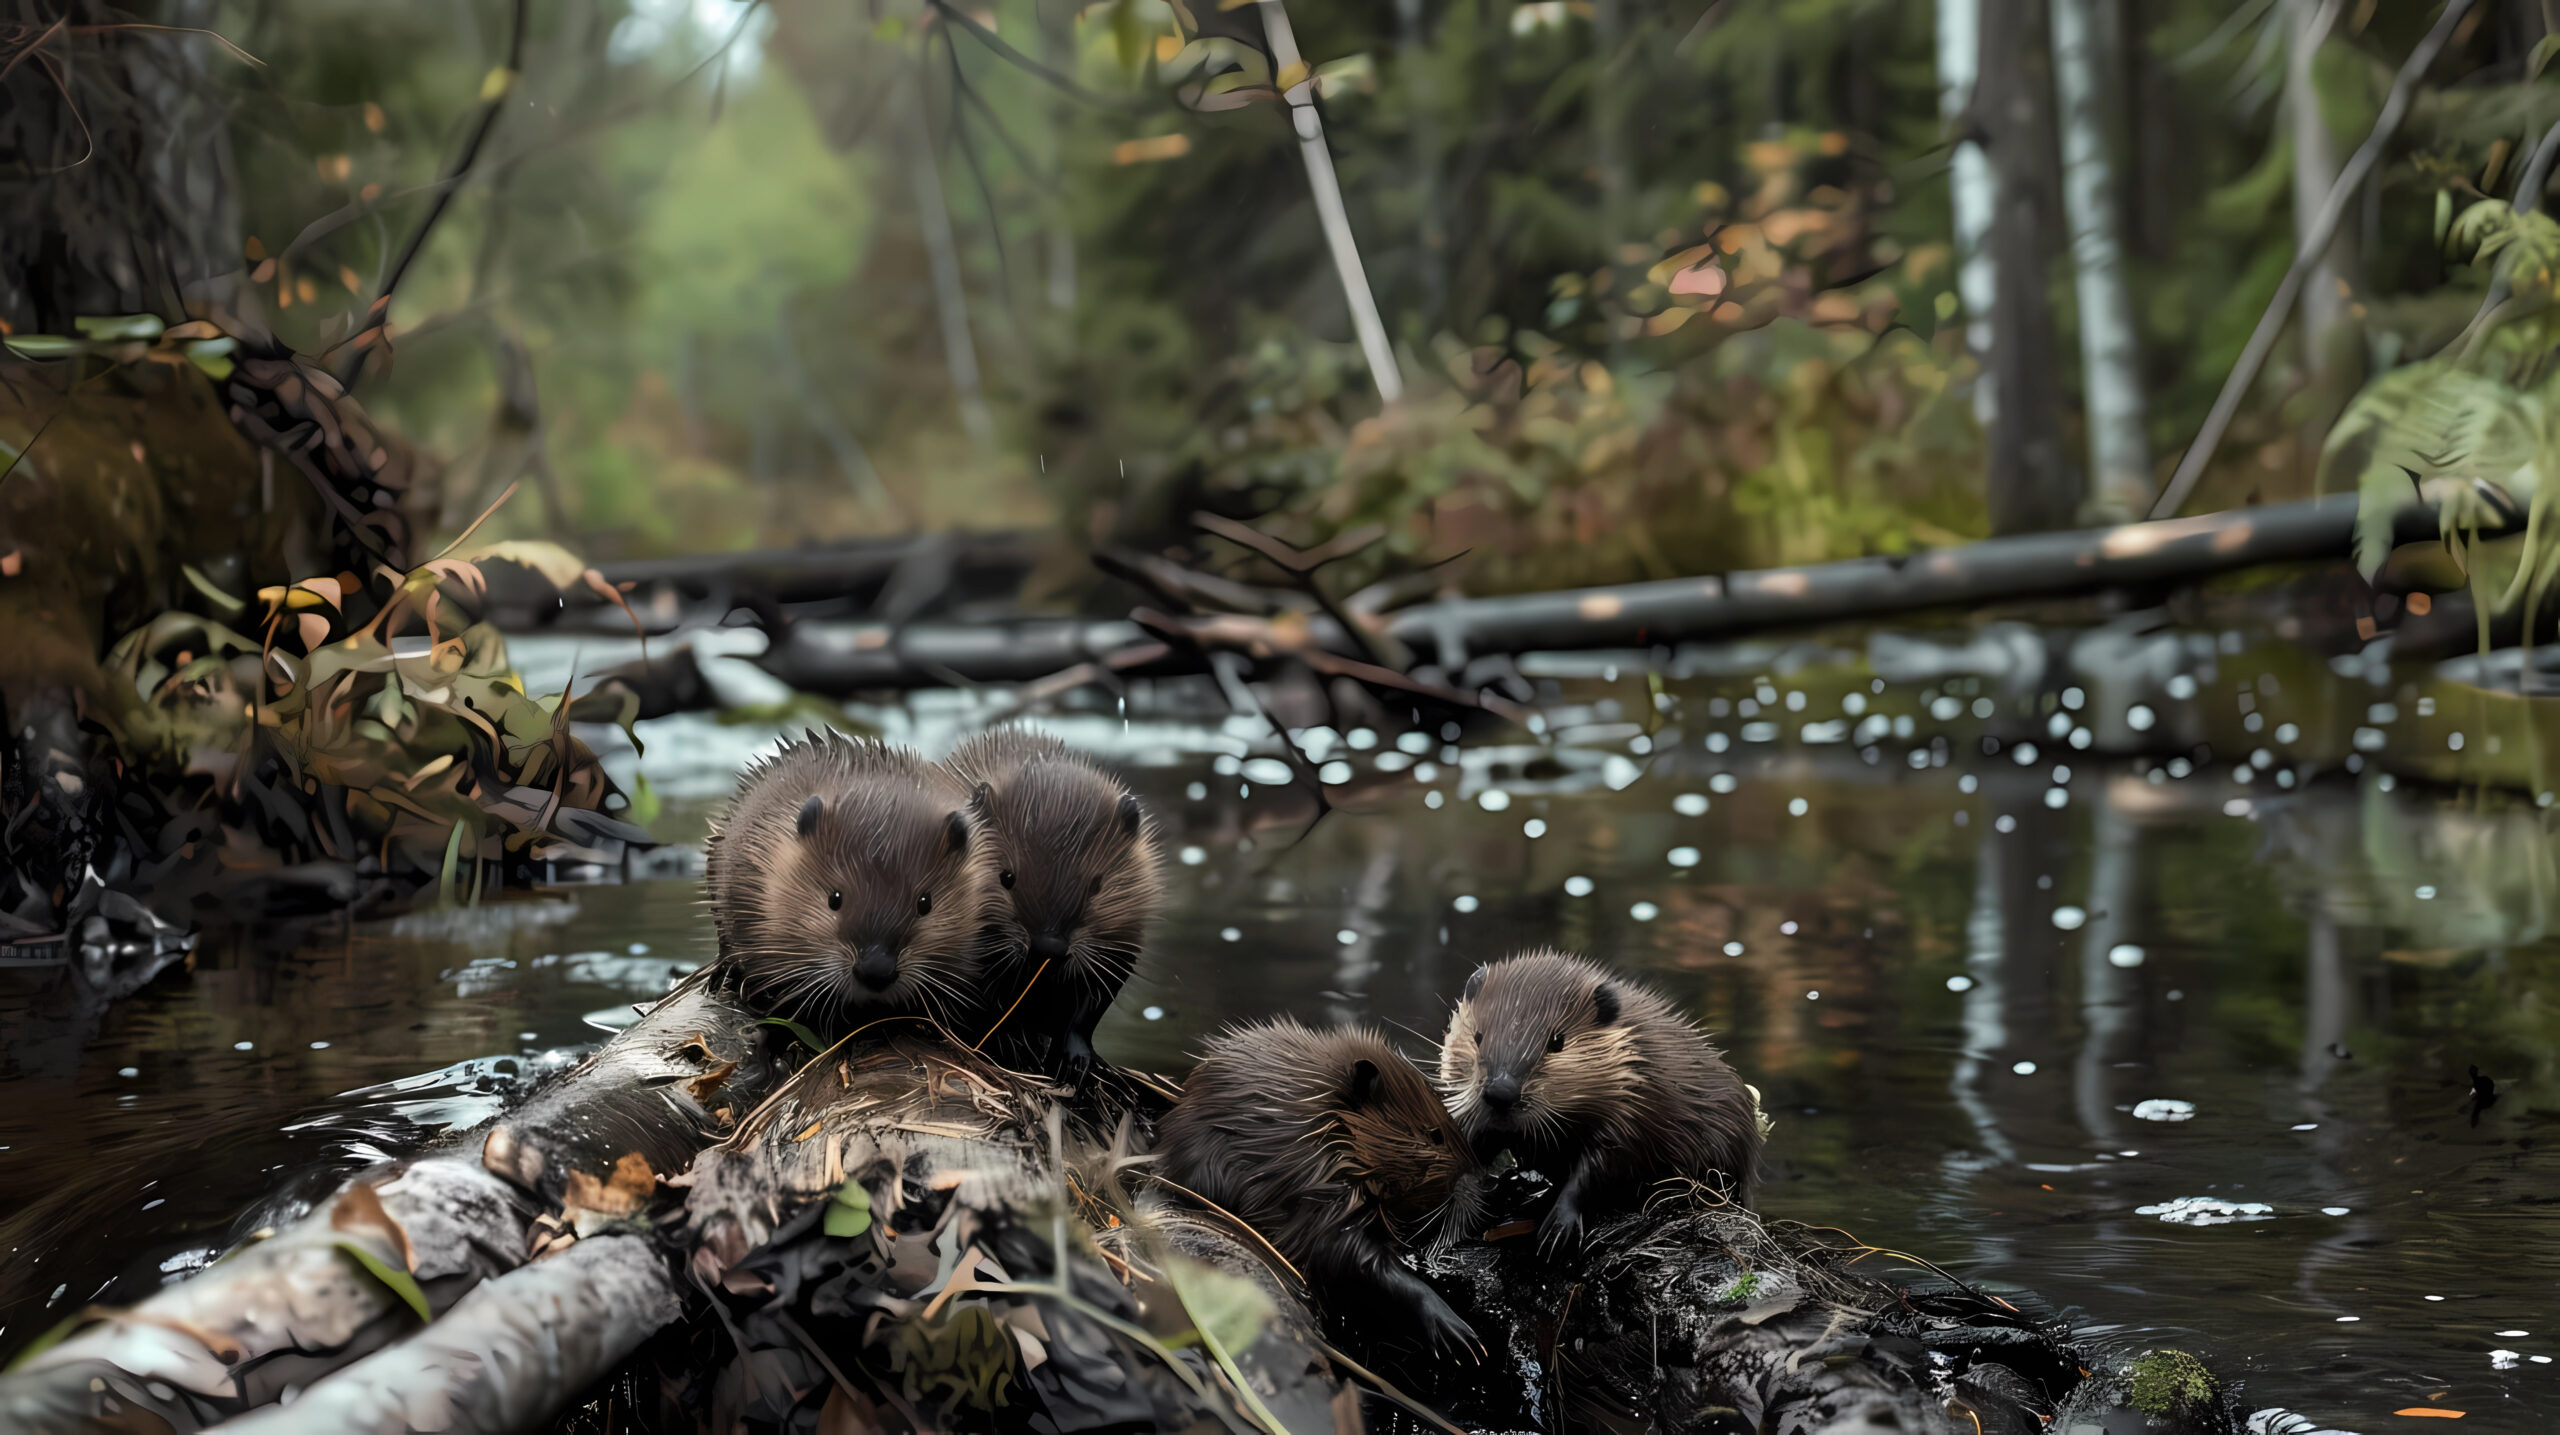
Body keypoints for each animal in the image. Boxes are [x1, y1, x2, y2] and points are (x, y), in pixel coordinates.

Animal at [942, 726, 1162, 1074]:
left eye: (1096, 885)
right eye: (1006, 877)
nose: (1049, 947)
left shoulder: (1125, 931)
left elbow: (1095, 997)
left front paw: (1077, 1061)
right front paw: (1011, 1043)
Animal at [1443, 951, 1761, 1253]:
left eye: (1556, 1042)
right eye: (1478, 1036)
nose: (1501, 1091)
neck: (1633, 1054)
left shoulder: (1630, 1109)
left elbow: (1601, 1167)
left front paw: (1556, 1230)